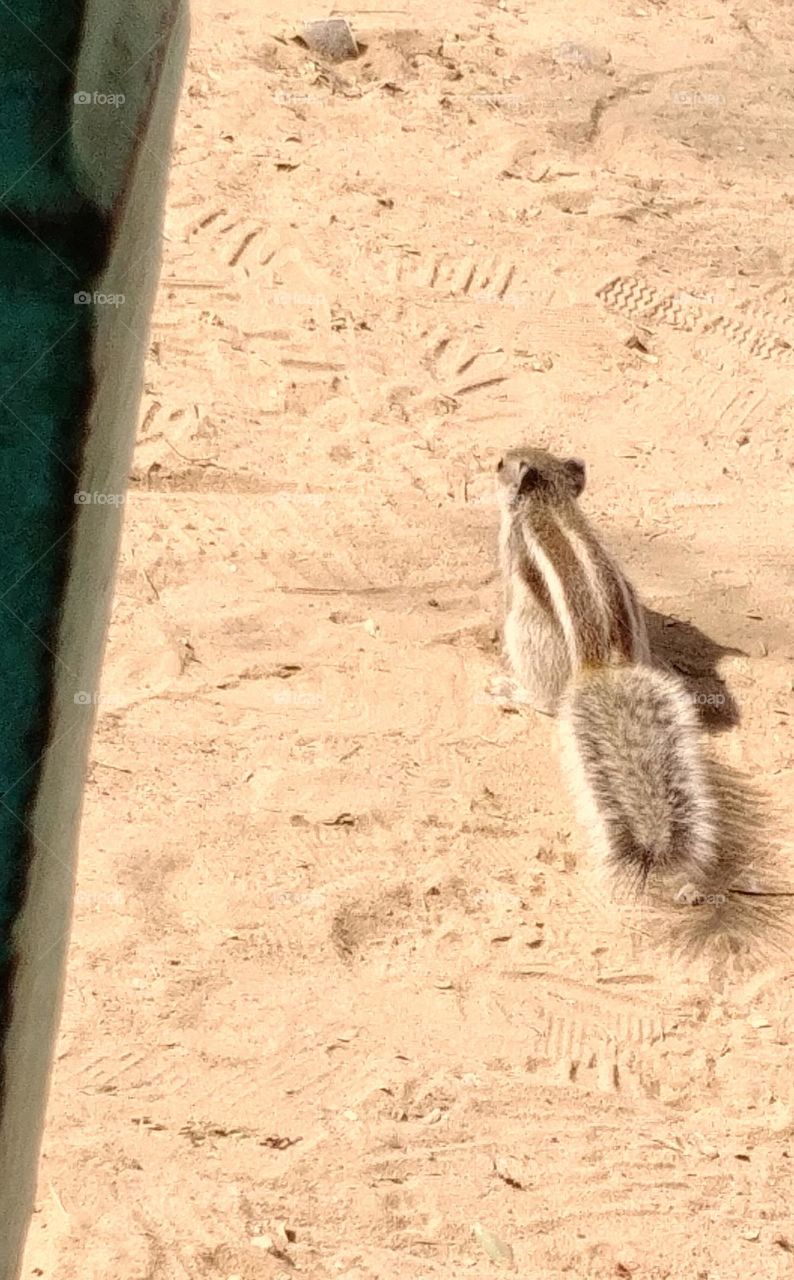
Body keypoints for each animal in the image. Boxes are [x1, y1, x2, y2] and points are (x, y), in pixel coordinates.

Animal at [495, 445, 716, 888]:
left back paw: (515, 690)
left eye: (500, 464)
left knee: (546, 699)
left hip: (528, 630)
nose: (492, 462)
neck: (550, 501)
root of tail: (602, 666)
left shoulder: (511, 549)